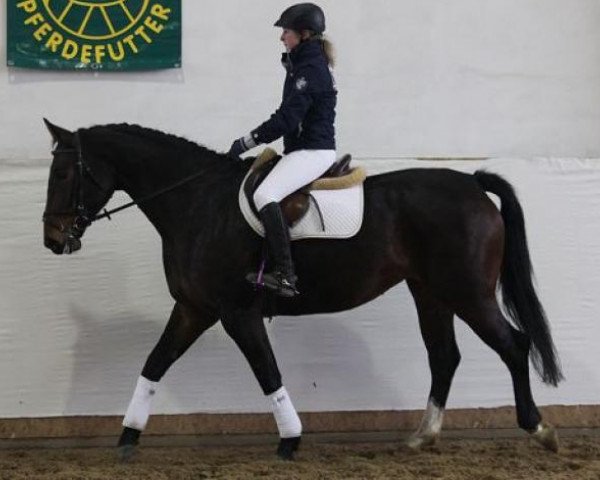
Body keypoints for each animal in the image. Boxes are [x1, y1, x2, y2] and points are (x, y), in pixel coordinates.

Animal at [42, 118, 564, 460]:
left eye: (64, 174)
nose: (53, 239)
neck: (198, 204)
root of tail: (473, 183)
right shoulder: (193, 308)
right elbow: (154, 364)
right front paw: (127, 437)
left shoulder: (236, 313)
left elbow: (267, 372)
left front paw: (291, 439)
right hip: (430, 293)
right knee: (444, 356)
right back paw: (424, 436)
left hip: (469, 293)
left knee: (514, 345)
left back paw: (539, 430)